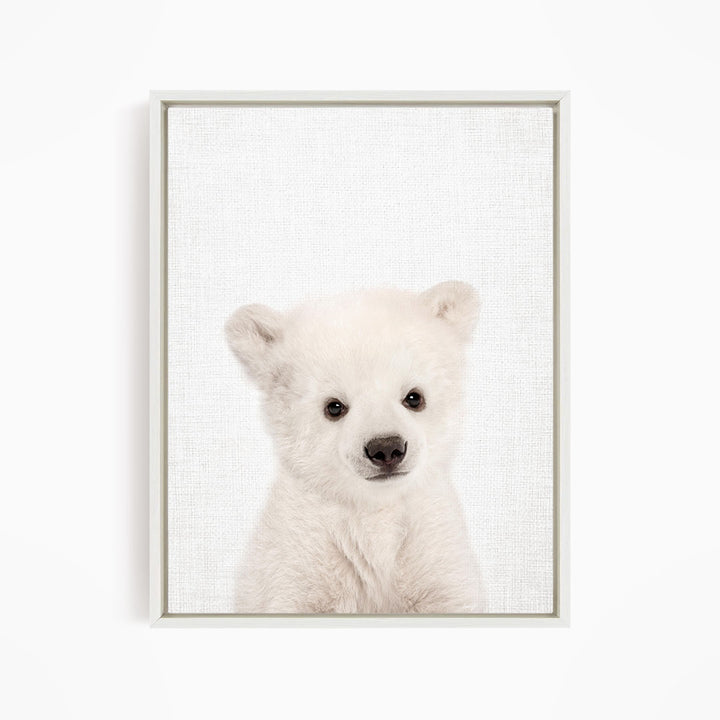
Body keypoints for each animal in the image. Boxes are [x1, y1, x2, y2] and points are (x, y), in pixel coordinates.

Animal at [225, 281, 482, 614]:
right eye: (334, 406)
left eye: (414, 397)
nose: (386, 448)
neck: (374, 508)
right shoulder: (301, 550)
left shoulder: (432, 541)